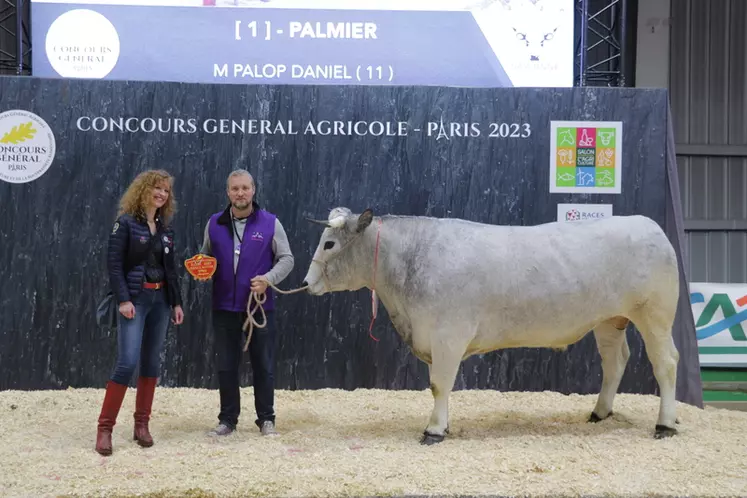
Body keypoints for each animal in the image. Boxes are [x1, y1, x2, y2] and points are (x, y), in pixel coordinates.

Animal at [300, 206, 680, 444]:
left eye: (329, 243)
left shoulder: (449, 334)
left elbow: (439, 384)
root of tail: (650, 225)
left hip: (656, 315)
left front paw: (434, 431)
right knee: (615, 361)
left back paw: (665, 424)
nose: (306, 282)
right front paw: (444, 425)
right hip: (609, 320)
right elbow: (440, 385)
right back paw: (600, 413)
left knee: (666, 363)